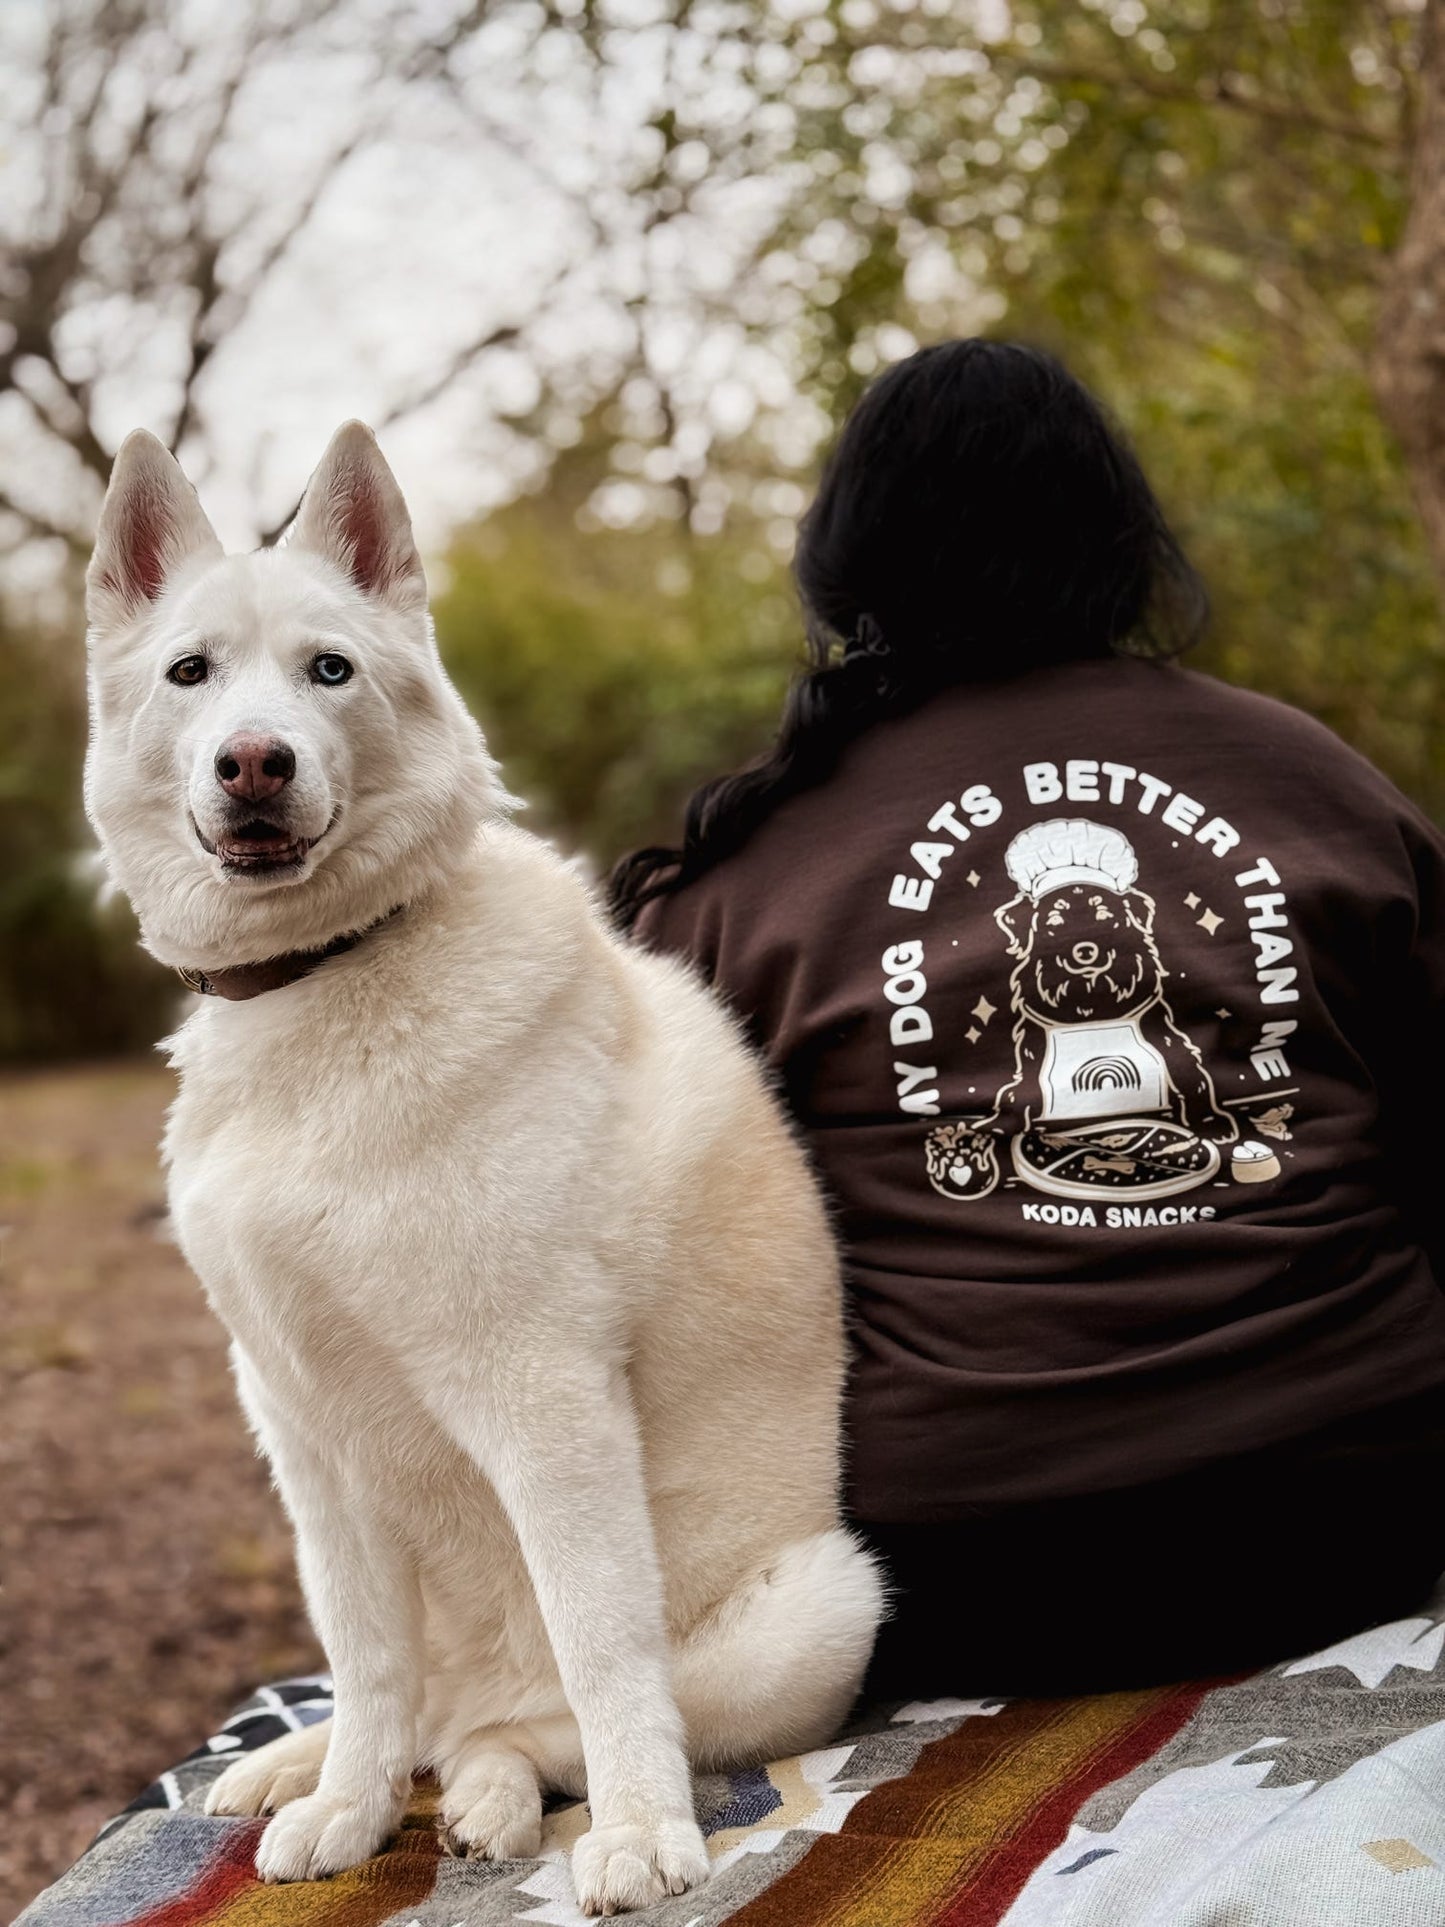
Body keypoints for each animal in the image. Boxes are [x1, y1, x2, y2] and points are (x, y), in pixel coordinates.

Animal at [87, 422, 882, 1911]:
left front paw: (643, 1836)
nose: (254, 764)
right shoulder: (300, 1427)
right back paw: (315, 1767)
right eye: (190, 672)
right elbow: (361, 1653)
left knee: (524, 1722)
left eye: (330, 670)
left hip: (823, 1601)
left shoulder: (541, 1396)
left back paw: (494, 1797)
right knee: (426, 1709)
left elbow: (602, 1648)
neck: (325, 979)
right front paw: (347, 1812)